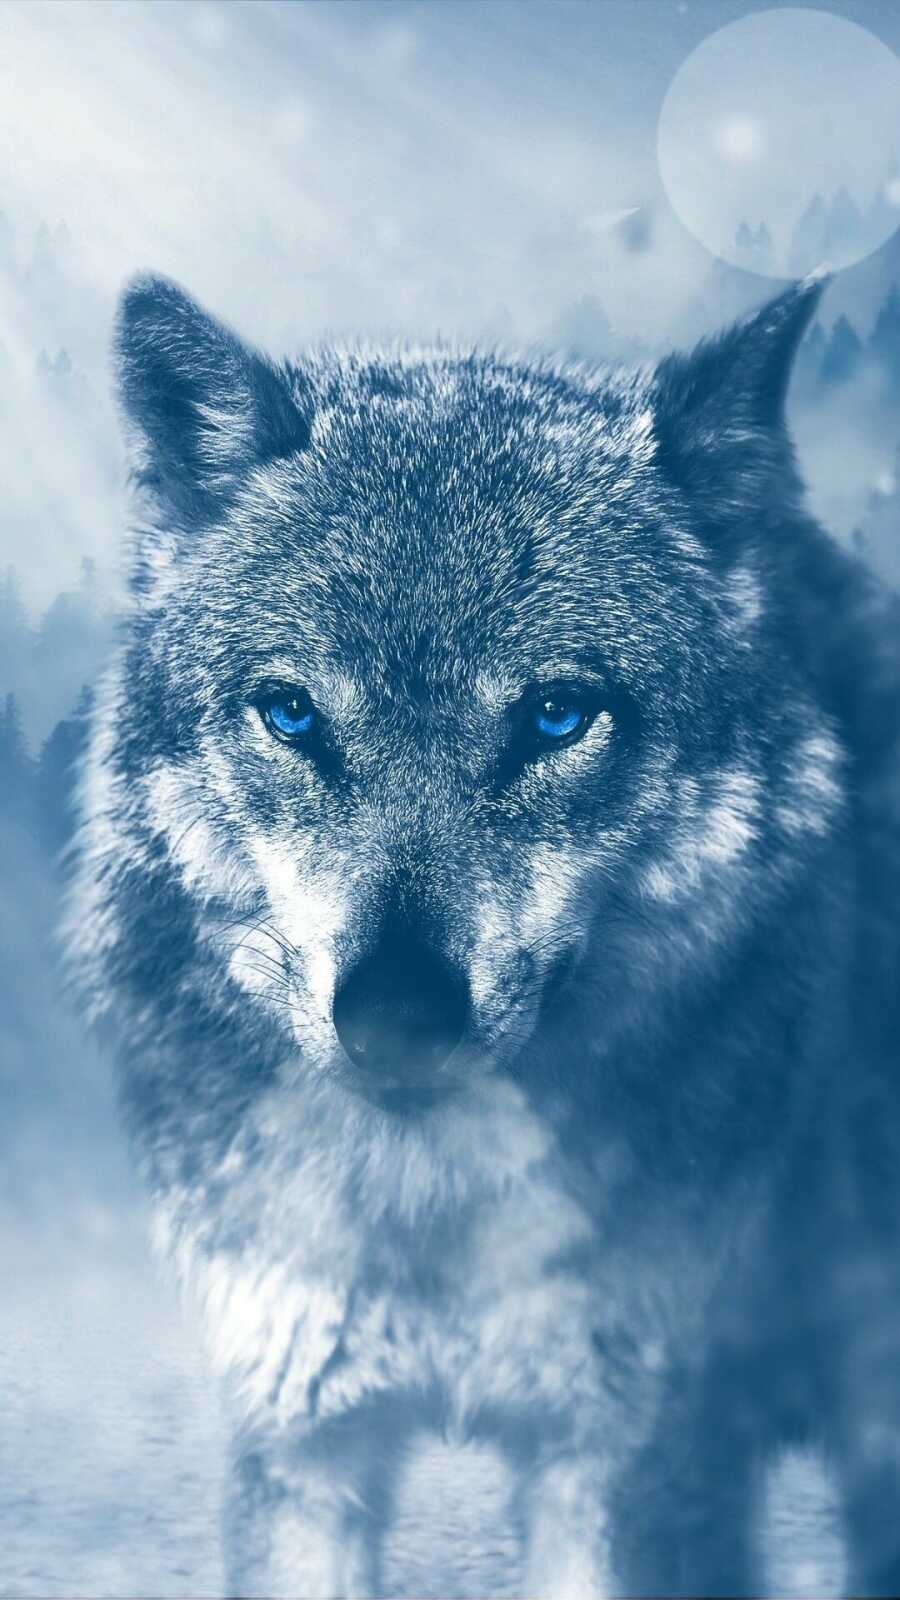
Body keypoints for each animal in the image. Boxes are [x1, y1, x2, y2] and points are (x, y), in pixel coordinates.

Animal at [68, 269, 900, 1597]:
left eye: (558, 714)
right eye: (291, 714)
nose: (398, 1015)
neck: (430, 1213)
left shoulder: (629, 1456)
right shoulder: (302, 1439)